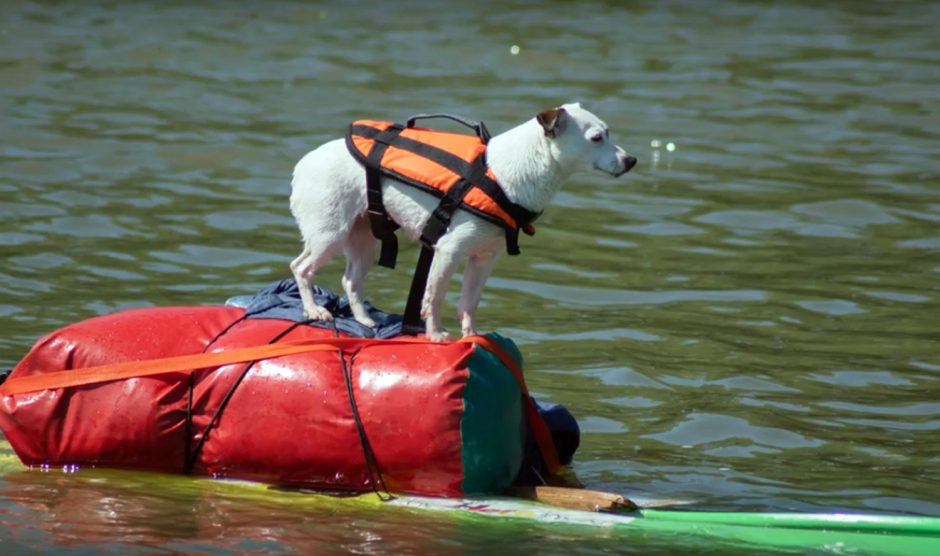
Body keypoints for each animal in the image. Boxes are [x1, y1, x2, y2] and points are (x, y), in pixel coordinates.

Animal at [290, 102, 636, 340]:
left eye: (607, 133)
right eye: (596, 138)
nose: (631, 160)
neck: (503, 175)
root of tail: (303, 163)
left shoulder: (485, 257)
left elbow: (469, 301)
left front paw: (472, 336)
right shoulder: (448, 251)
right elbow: (434, 297)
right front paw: (435, 334)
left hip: (363, 238)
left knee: (351, 280)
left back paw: (364, 320)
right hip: (329, 234)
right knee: (301, 267)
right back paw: (314, 310)